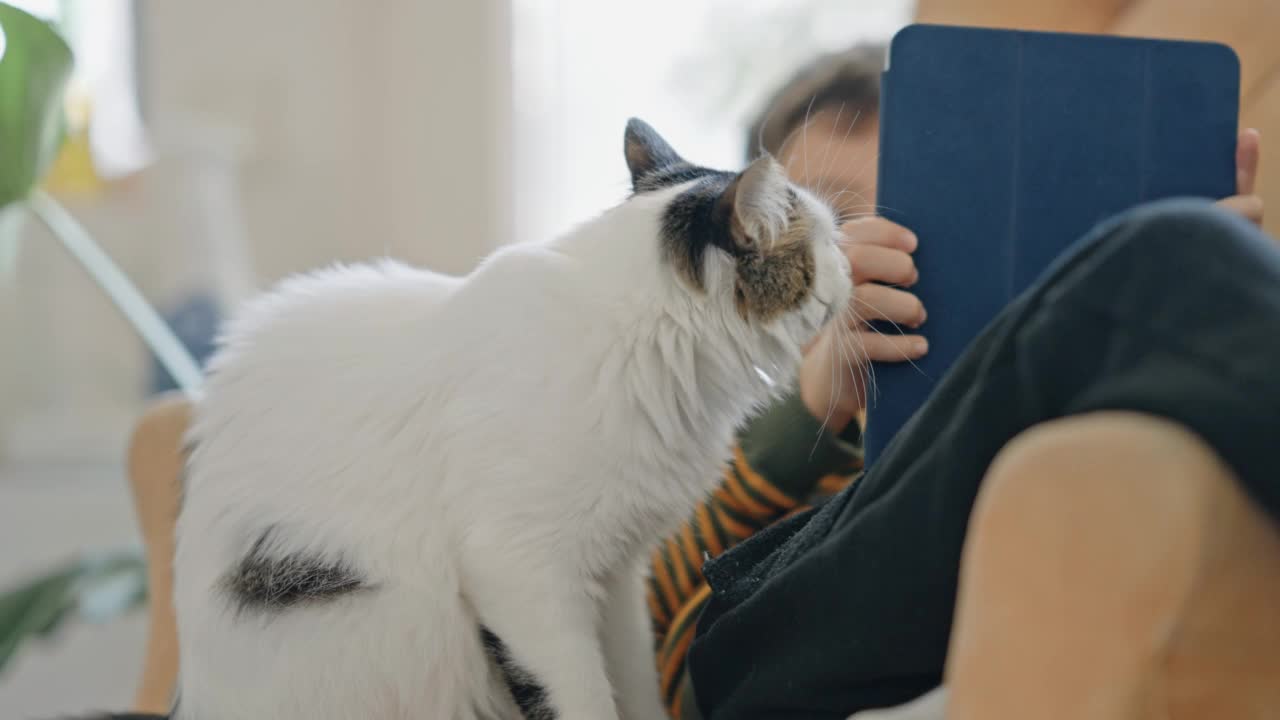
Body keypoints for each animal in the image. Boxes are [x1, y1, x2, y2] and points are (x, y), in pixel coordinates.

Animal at [147, 119, 849, 717]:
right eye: (825, 243)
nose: (850, 257)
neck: (637, 342)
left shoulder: (617, 574)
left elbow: (635, 685)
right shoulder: (522, 572)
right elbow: (584, 698)